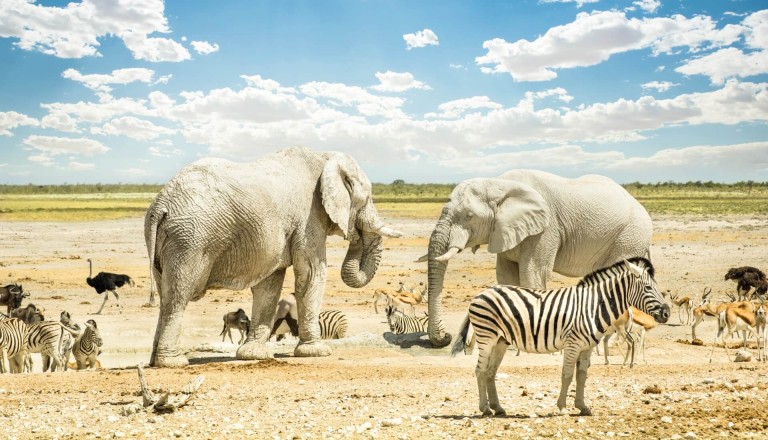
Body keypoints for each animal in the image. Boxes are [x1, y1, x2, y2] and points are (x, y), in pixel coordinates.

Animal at [143, 146, 402, 366]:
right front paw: (316, 352)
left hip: (165, 241)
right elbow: (311, 273)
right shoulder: (309, 217)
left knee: (166, 296)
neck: (325, 156)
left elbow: (269, 284)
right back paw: (173, 362)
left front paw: (253, 355)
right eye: (367, 199)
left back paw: (154, 362)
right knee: (178, 296)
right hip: (190, 240)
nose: (356, 234)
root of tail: (160, 205)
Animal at [424, 168, 652, 348]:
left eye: (469, 216)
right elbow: (506, 276)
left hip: (629, 236)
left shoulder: (545, 229)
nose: (445, 338)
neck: (498, 184)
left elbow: (532, 273)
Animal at [452, 260, 668, 418]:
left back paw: (498, 408)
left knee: (490, 372)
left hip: (500, 341)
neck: (593, 307)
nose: (667, 313)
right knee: (480, 371)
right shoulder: (573, 344)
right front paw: (563, 408)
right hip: (486, 337)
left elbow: (581, 376)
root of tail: (482, 292)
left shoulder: (587, 347)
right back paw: (485, 409)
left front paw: (582, 407)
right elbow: (567, 375)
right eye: (648, 288)